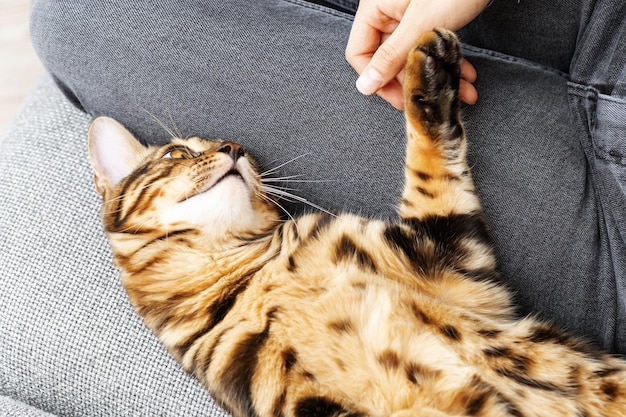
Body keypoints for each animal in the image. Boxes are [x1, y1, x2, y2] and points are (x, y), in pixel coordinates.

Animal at [88, 29, 624, 416]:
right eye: (177, 153)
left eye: (251, 158)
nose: (234, 148)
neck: (252, 278)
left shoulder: (450, 253)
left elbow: (433, 165)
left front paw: (424, 76)